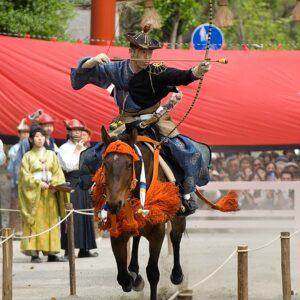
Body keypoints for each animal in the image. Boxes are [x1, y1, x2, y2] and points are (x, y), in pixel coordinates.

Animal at [98, 126, 186, 300]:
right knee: (137, 237)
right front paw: (135, 280)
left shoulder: (157, 232)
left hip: (178, 214)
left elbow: (152, 272)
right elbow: (122, 277)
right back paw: (134, 271)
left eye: (128, 164)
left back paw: (177, 275)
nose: (113, 204)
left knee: (175, 237)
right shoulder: (117, 231)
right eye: (105, 163)